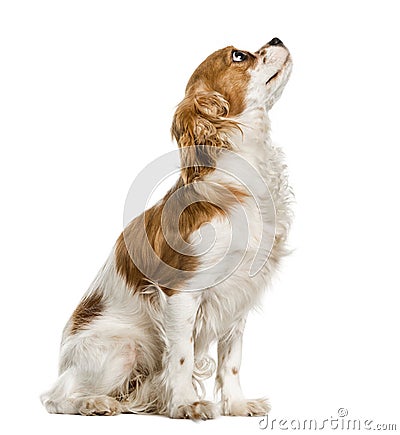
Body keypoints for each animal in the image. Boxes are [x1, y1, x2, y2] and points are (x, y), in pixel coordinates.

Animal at [40, 37, 292, 418]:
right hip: (123, 347)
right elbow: (182, 357)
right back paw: (93, 403)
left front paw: (236, 405)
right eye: (238, 56)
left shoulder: (237, 296)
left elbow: (231, 360)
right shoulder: (182, 291)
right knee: (55, 396)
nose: (277, 39)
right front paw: (186, 404)